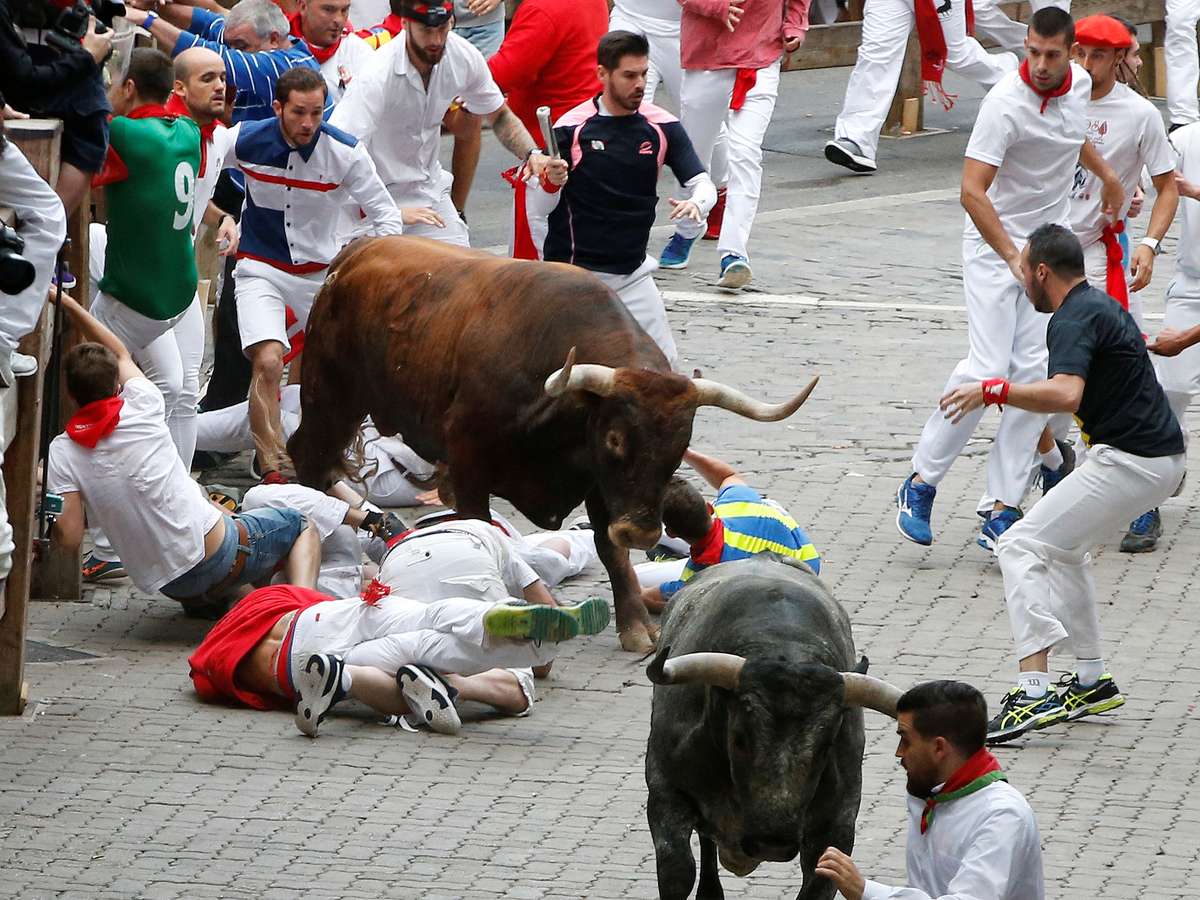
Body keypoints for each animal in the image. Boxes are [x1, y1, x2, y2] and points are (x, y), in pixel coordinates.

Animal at [286, 236, 820, 652]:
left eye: (679, 448)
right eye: (615, 438)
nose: (643, 532)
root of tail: (356, 251)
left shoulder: (601, 487)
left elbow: (610, 550)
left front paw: (635, 627)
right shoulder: (471, 465)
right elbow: (484, 531)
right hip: (330, 396)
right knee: (309, 457)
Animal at [648, 561, 902, 897]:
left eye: (826, 747)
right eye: (739, 740)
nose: (773, 843)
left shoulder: (837, 823)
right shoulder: (665, 792)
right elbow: (679, 870)